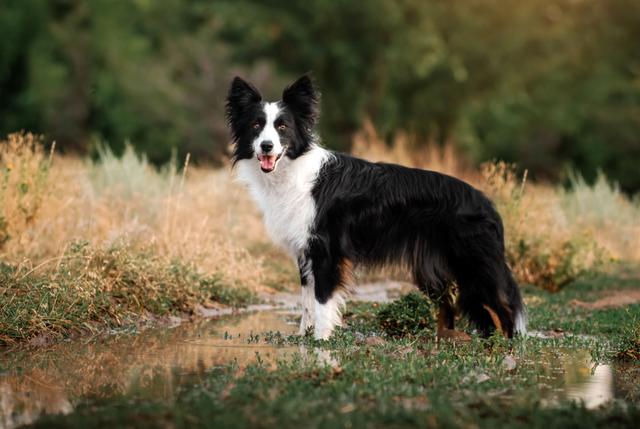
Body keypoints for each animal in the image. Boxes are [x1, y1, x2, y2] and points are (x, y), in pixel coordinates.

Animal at [225, 75, 524, 340]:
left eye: (283, 127)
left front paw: (321, 342)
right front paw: (303, 339)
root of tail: (486, 203)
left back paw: (506, 348)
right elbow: (307, 301)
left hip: (473, 263)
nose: (266, 146)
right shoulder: (306, 252)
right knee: (461, 308)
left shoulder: (327, 252)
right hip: (435, 268)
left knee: (503, 307)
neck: (293, 169)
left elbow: (321, 301)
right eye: (256, 125)